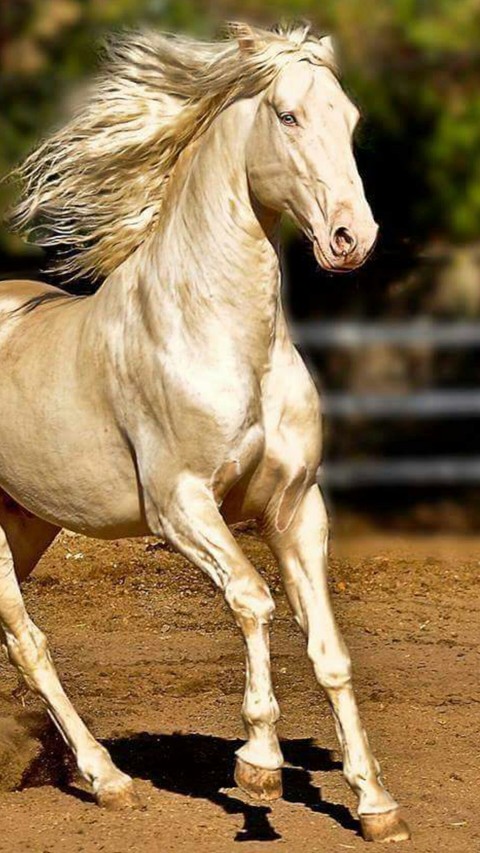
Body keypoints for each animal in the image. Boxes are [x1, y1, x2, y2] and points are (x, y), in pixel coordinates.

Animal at [1, 22, 410, 842]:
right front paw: (257, 764)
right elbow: (252, 600)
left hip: (26, 523)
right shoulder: (180, 505)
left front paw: (375, 804)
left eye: (350, 119)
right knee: (30, 644)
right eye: (288, 115)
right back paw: (109, 780)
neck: (222, 336)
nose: (352, 237)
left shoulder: (295, 507)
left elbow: (329, 650)